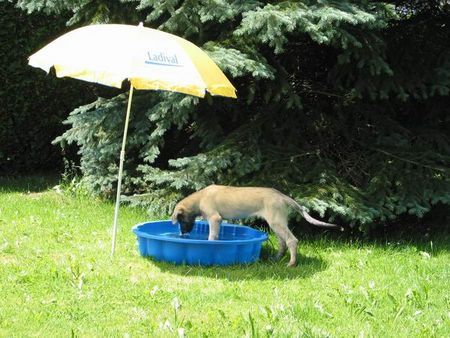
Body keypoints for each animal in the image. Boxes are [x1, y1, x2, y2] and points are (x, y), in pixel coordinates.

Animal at [171, 185, 342, 266]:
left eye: (181, 220)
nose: (182, 235)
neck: (200, 198)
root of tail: (282, 196)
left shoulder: (215, 219)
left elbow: (212, 237)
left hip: (276, 222)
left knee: (292, 241)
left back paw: (291, 263)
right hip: (277, 223)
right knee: (282, 243)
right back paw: (276, 259)